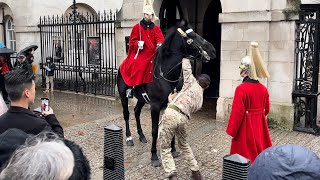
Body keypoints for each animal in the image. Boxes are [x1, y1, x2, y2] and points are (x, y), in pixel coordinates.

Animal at [116, 20, 216, 167]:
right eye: (191, 37)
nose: (213, 50)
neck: (166, 75)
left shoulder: (169, 105)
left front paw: (173, 150)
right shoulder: (155, 106)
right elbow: (154, 130)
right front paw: (154, 156)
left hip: (141, 99)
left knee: (136, 111)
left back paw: (141, 136)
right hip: (123, 96)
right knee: (127, 114)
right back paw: (129, 138)